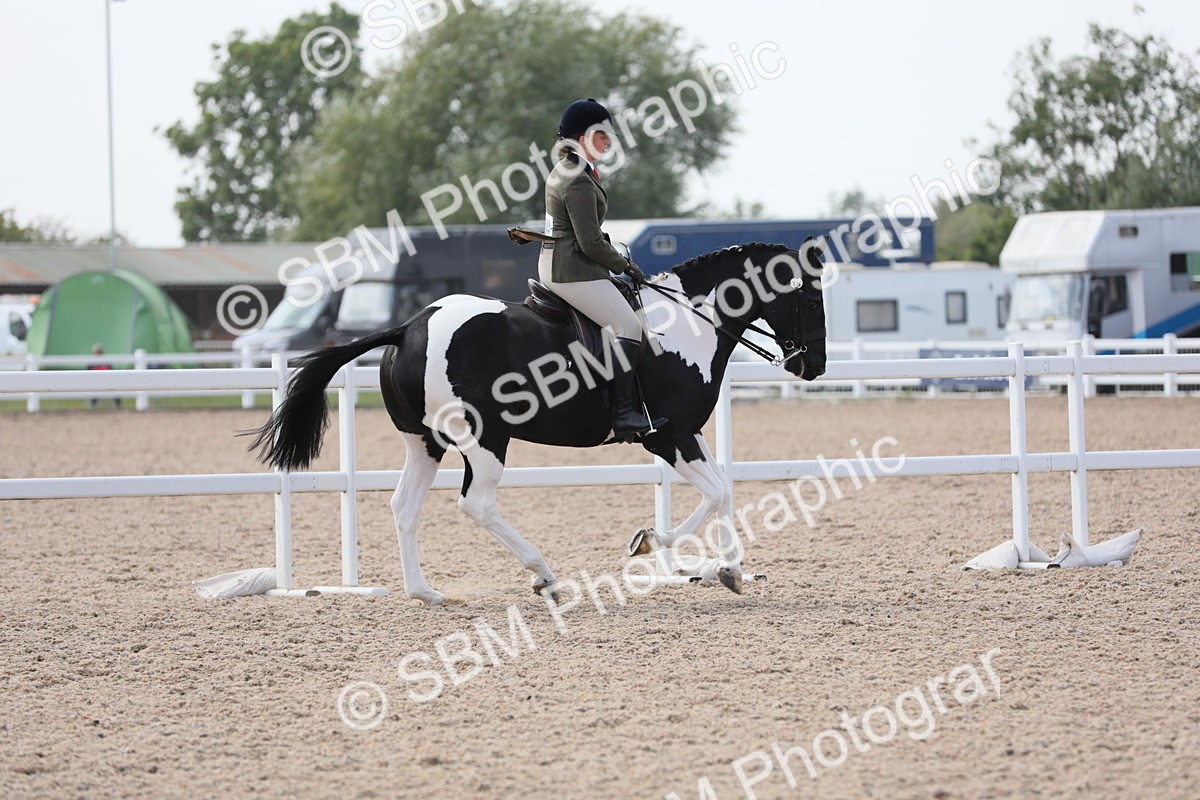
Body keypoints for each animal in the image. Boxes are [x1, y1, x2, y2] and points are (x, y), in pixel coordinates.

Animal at [249, 241, 827, 605]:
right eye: (808, 294)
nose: (814, 366)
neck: (689, 324)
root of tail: (409, 327)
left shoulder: (689, 436)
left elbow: (725, 489)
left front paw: (726, 570)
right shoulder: (669, 436)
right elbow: (714, 493)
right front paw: (651, 543)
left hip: (426, 443)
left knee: (404, 506)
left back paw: (425, 592)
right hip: (484, 439)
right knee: (477, 504)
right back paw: (544, 576)